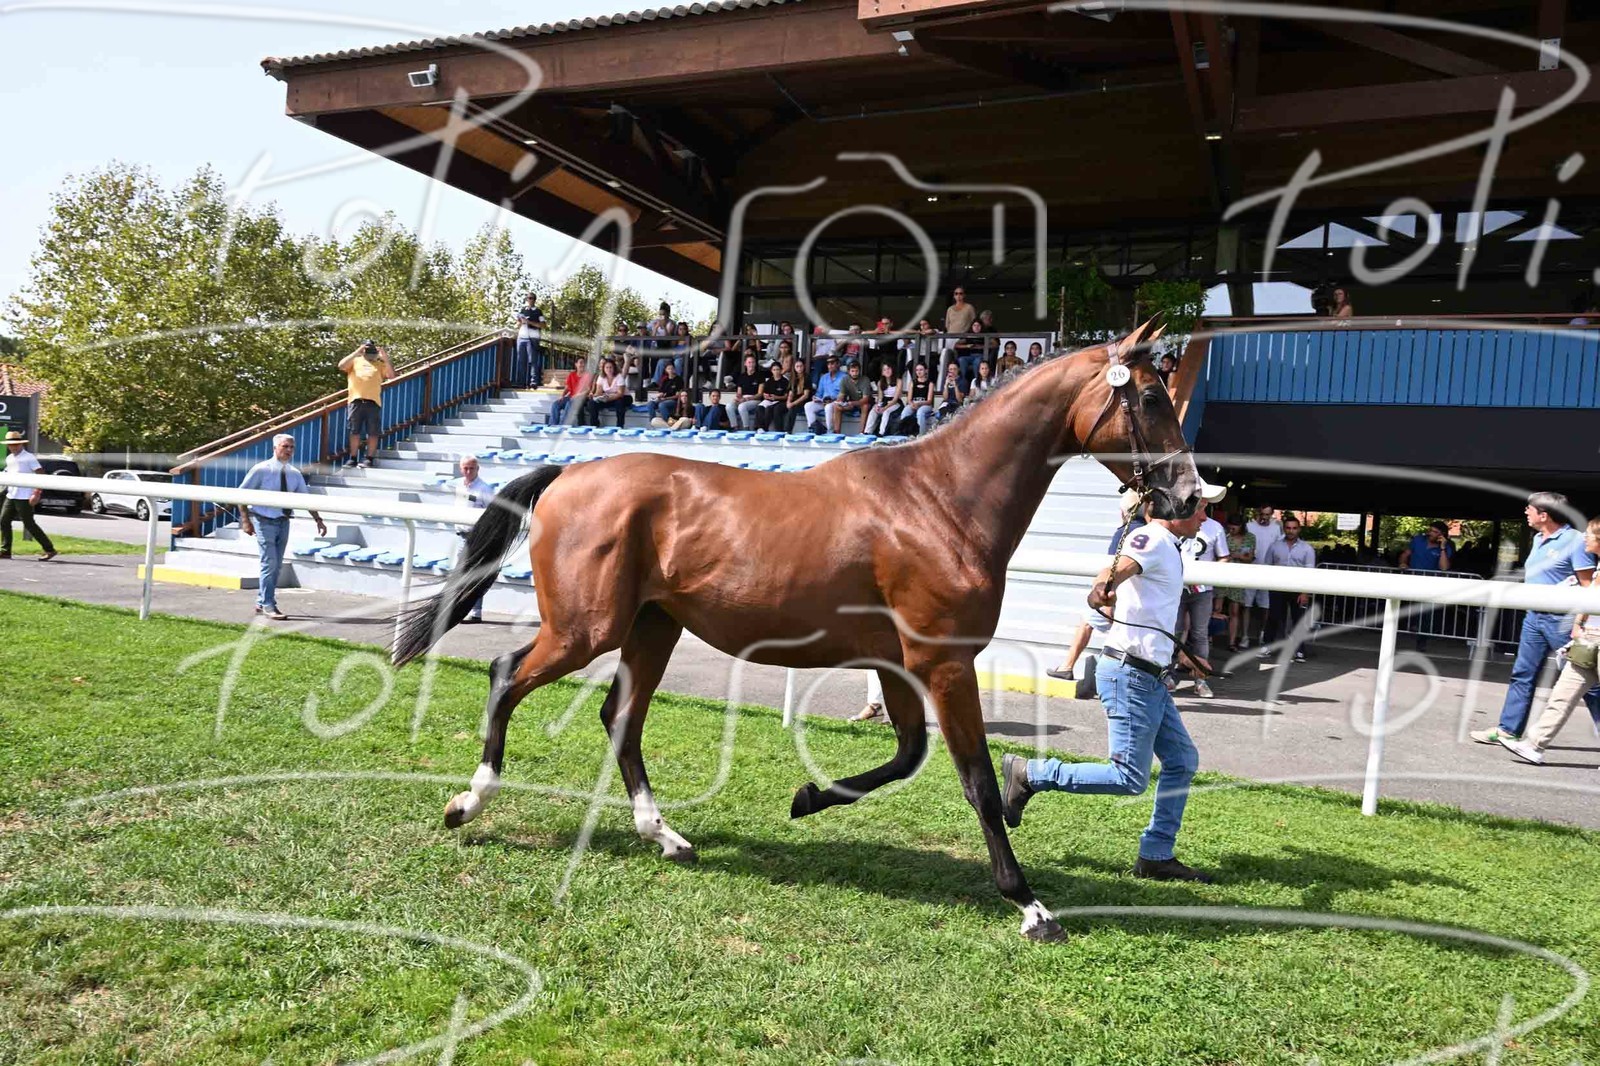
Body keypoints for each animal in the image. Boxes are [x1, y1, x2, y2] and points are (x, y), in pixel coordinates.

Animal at [391, 322, 1201, 941]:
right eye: (1150, 396)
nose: (1191, 495)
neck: (941, 500)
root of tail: (569, 476)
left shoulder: (898, 665)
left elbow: (907, 756)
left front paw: (806, 798)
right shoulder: (942, 662)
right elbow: (970, 774)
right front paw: (1029, 904)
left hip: (652, 629)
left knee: (620, 718)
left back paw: (667, 837)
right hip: (584, 629)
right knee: (508, 676)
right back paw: (468, 804)